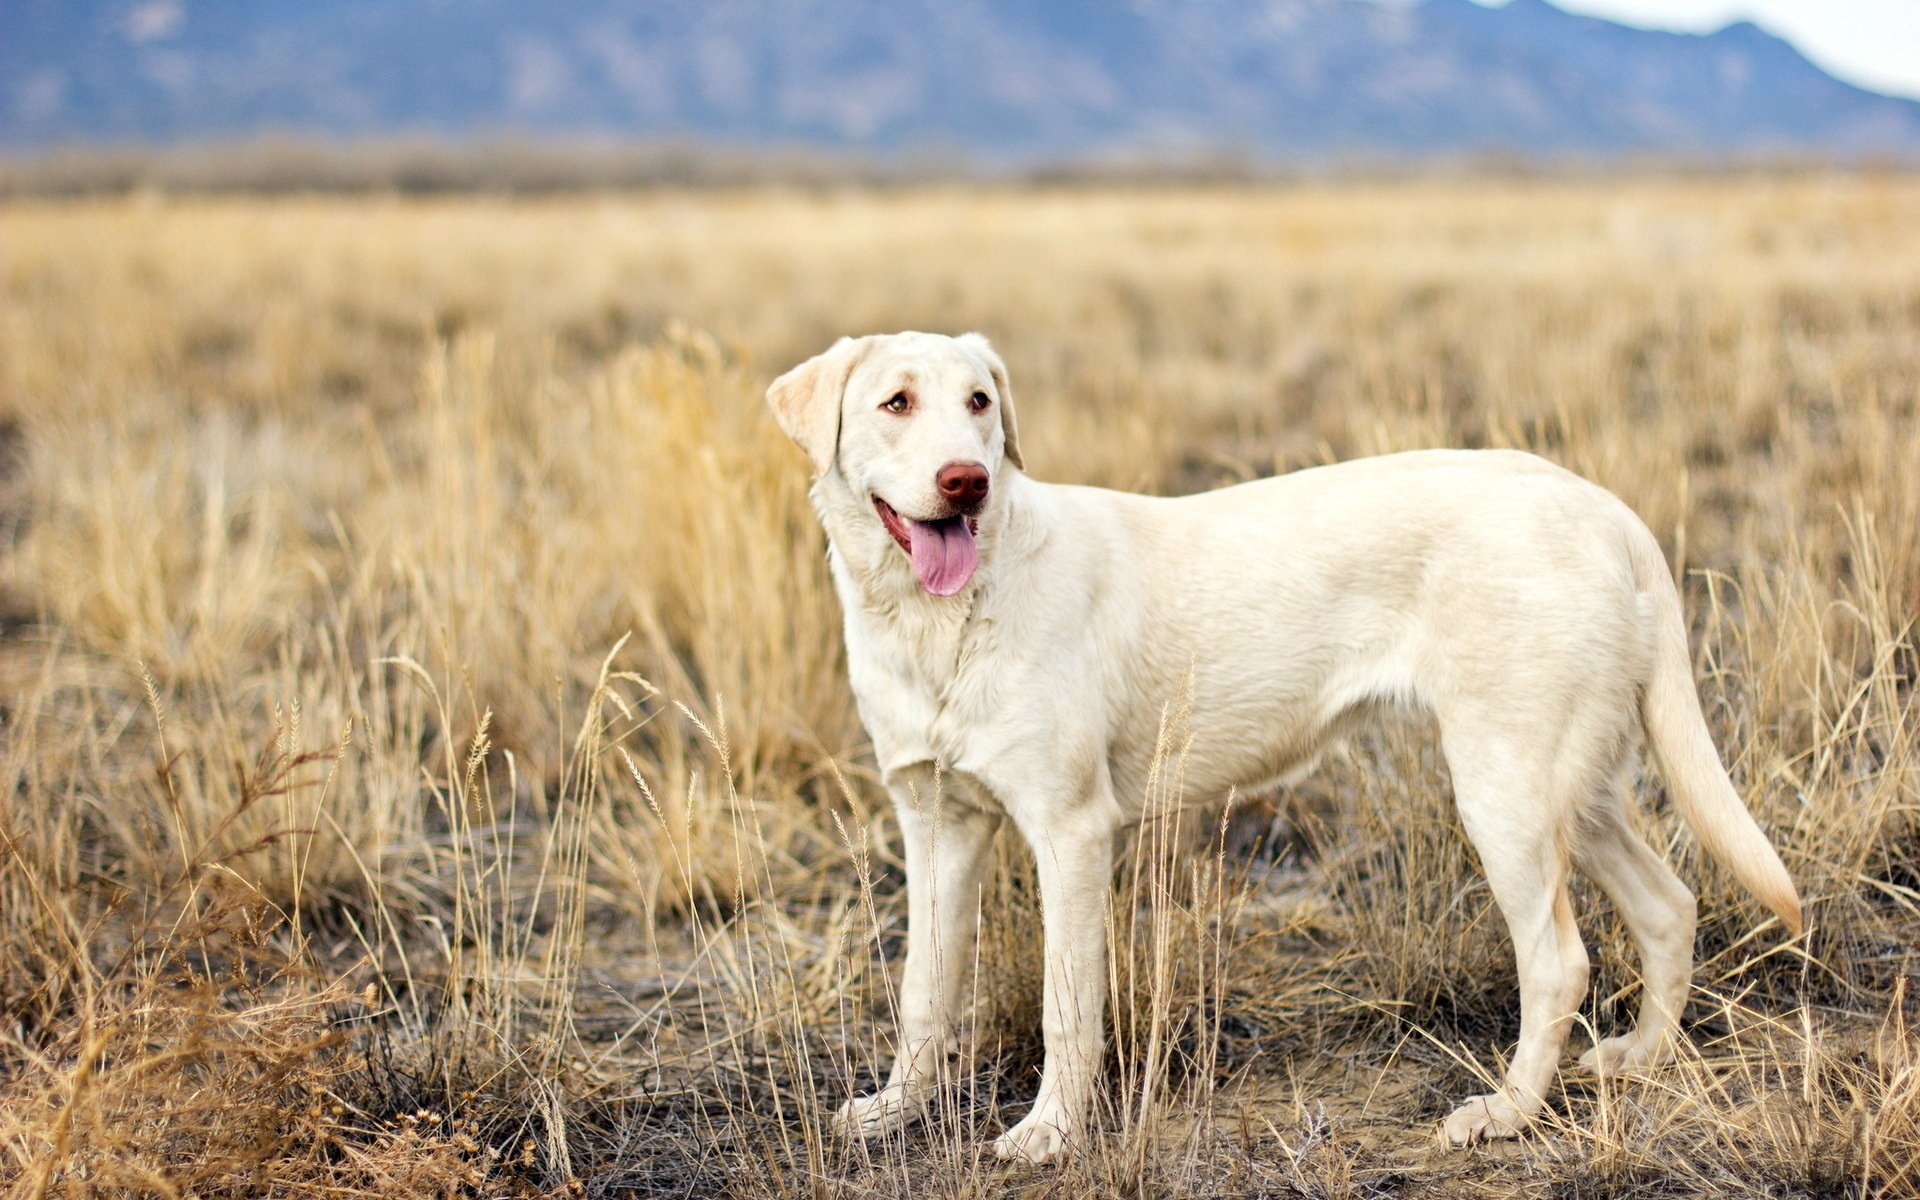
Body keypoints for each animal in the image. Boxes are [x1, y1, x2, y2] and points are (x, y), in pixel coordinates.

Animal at [764, 328, 1797, 1159]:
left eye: (980, 402)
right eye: (896, 402)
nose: (967, 482)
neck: (937, 621)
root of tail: (1596, 502)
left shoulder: (1071, 831)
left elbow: (1067, 1006)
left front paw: (1050, 1134)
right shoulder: (936, 823)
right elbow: (923, 991)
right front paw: (896, 1111)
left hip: (1507, 790)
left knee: (1560, 963)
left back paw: (1504, 1114)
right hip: (1575, 790)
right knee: (1668, 906)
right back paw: (1640, 1059)